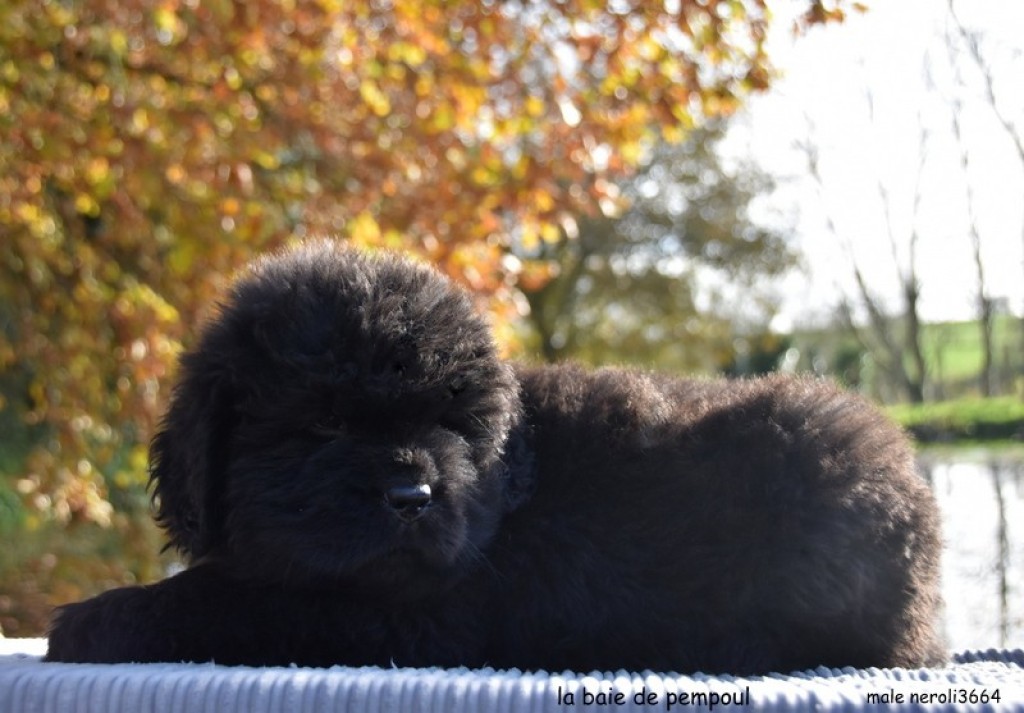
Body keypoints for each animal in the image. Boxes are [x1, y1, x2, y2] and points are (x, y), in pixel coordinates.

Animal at [46, 241, 944, 674]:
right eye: (324, 423)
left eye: (452, 422)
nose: (412, 495)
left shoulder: (416, 611)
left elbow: (237, 599)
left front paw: (95, 616)